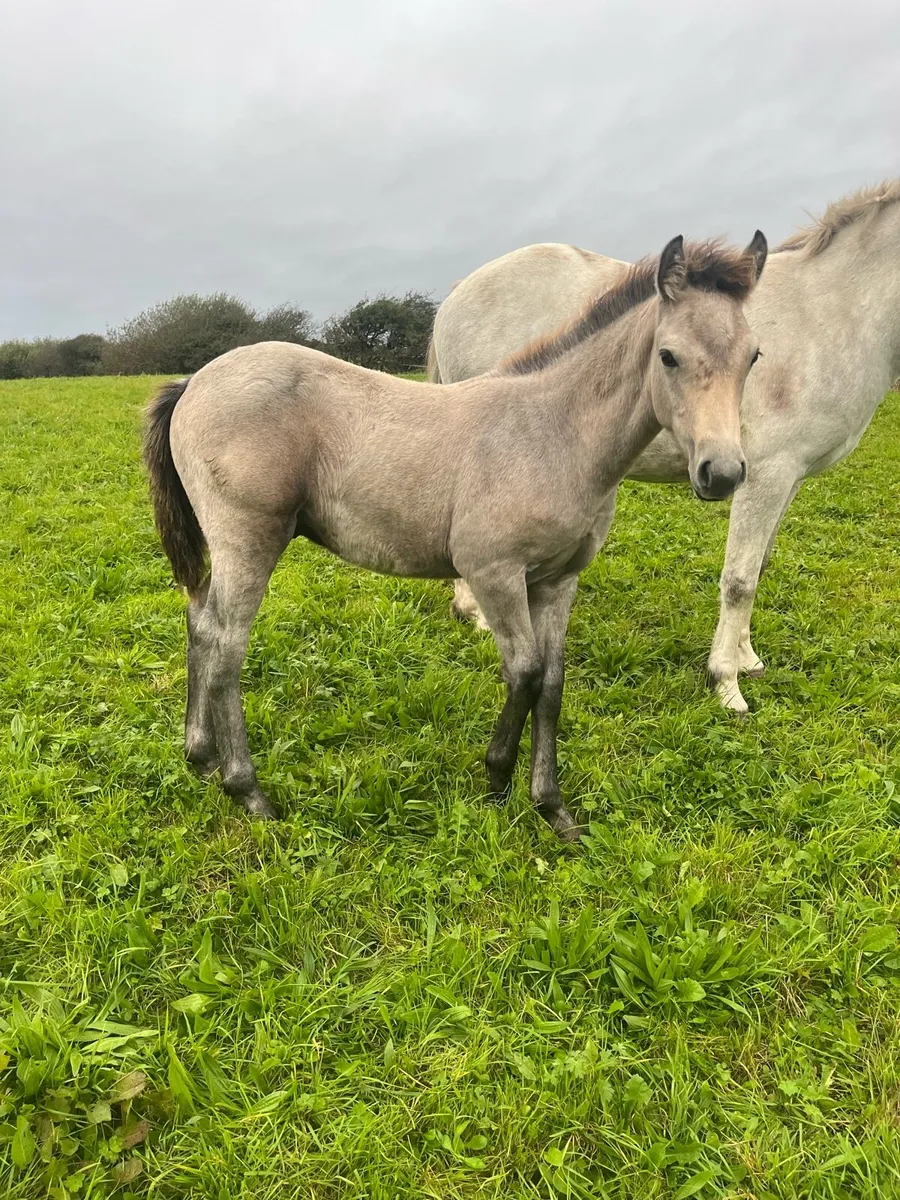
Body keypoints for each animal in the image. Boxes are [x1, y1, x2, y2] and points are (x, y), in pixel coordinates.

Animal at [143, 233, 766, 841]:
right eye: (669, 355)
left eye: (753, 356)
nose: (722, 472)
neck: (552, 432)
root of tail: (193, 381)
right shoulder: (493, 573)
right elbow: (525, 672)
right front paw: (496, 782)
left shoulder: (558, 580)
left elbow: (552, 683)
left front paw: (553, 808)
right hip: (249, 542)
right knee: (226, 644)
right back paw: (248, 791)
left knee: (200, 623)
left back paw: (201, 758)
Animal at [430, 181, 900, 714]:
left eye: (755, 356)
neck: (832, 310)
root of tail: (459, 291)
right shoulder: (767, 474)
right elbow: (740, 579)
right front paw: (725, 681)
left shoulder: (788, 479)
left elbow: (758, 566)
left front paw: (747, 660)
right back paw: (475, 613)